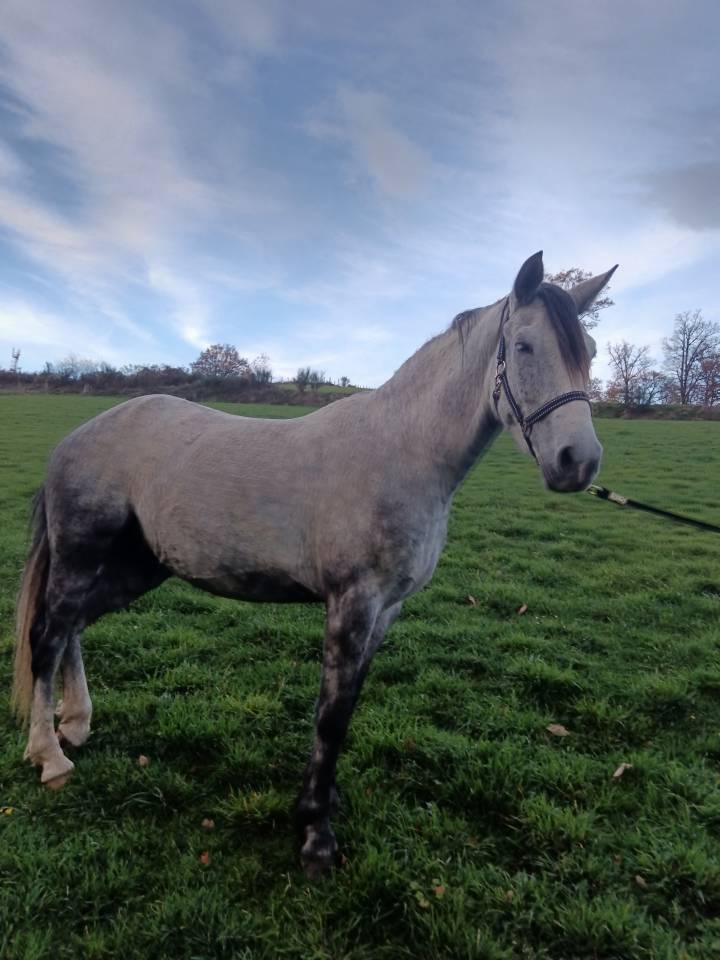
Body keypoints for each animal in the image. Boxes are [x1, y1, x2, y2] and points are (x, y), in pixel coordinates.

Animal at [12, 251, 615, 875]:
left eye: (590, 350)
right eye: (523, 346)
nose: (578, 461)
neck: (402, 452)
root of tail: (78, 437)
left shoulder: (386, 611)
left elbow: (347, 707)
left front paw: (322, 802)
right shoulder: (352, 602)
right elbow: (331, 714)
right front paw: (314, 836)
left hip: (137, 566)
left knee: (73, 627)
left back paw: (76, 723)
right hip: (82, 554)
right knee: (48, 635)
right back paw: (50, 757)